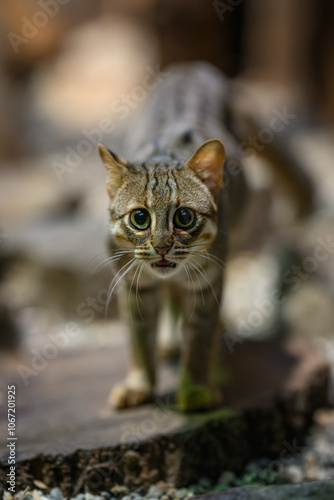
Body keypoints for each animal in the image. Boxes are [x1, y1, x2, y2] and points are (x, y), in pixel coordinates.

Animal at [98, 62, 247, 410]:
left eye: (184, 217)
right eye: (140, 218)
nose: (163, 247)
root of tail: (190, 66)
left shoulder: (208, 283)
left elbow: (200, 339)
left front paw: (196, 390)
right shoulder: (133, 284)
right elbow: (139, 340)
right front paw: (139, 385)